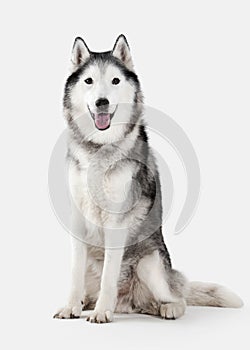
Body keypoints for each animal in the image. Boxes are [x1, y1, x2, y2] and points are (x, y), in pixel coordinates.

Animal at [53, 34, 243, 322]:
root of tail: (128, 303)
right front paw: (71, 306)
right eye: (89, 81)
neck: (99, 149)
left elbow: (109, 275)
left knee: (177, 298)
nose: (101, 102)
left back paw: (165, 307)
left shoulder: (117, 221)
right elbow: (75, 273)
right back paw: (88, 302)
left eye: (115, 81)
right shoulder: (77, 219)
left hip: (150, 263)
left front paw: (102, 312)